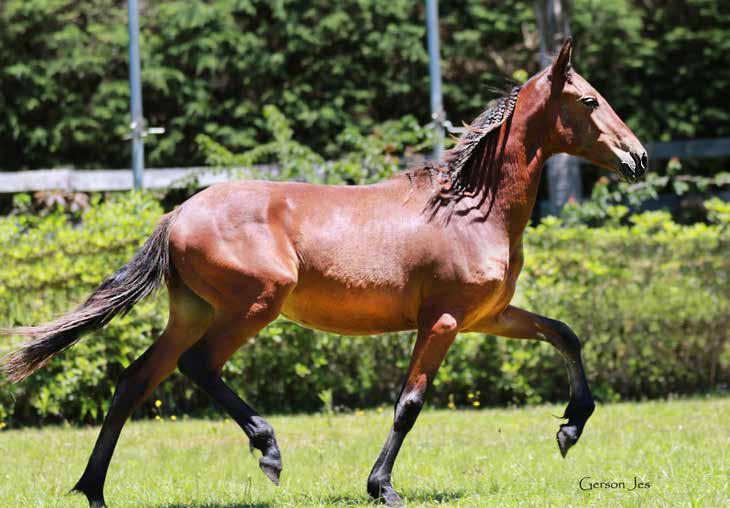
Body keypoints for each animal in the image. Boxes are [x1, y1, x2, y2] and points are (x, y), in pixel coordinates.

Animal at [2, 37, 644, 506]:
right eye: (590, 101)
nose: (637, 158)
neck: (471, 208)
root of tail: (177, 213)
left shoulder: (488, 316)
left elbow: (565, 334)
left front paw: (570, 428)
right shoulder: (441, 321)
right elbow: (409, 404)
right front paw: (382, 488)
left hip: (192, 312)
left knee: (136, 380)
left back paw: (94, 490)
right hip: (254, 305)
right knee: (197, 366)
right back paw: (268, 450)